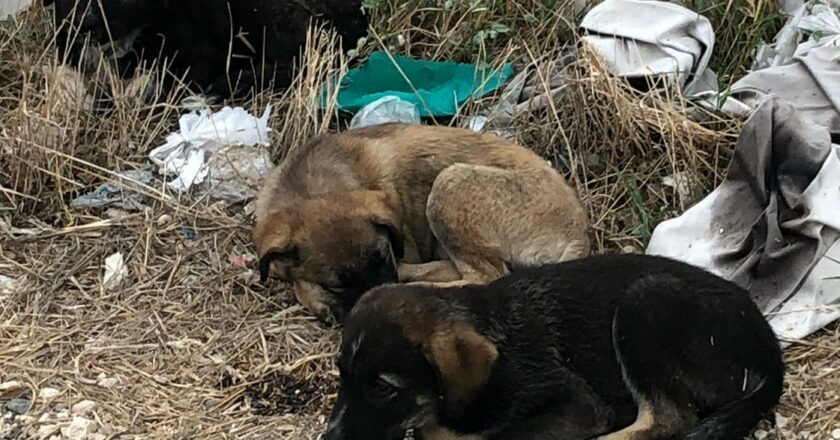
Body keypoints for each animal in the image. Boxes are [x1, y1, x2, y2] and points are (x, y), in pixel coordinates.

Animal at [256, 124, 592, 324]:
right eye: (336, 284)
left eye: (384, 257)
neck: (312, 185)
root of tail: (579, 229)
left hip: (450, 184)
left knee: (484, 277)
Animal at [324, 253, 784, 440]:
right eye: (341, 375)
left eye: (382, 388)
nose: (330, 437)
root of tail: (770, 349)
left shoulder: (575, 403)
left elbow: (501, 434)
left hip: (646, 299)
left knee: (670, 418)